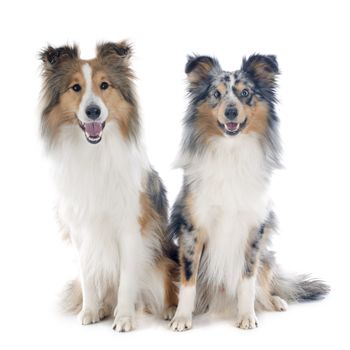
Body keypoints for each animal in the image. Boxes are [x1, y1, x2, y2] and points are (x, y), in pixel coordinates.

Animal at [39, 41, 178, 330]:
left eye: (104, 85)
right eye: (75, 87)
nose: (93, 111)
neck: (94, 152)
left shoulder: (130, 228)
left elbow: (126, 280)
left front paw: (124, 318)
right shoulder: (81, 232)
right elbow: (88, 276)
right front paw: (90, 311)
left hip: (160, 265)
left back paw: (168, 310)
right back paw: (104, 307)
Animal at [169, 54, 328, 330]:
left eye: (245, 93)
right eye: (216, 94)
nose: (231, 111)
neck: (231, 151)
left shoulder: (254, 229)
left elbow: (247, 279)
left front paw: (246, 316)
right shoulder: (192, 227)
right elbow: (189, 279)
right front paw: (182, 317)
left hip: (267, 256)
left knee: (265, 284)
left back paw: (275, 300)